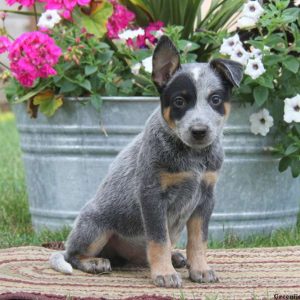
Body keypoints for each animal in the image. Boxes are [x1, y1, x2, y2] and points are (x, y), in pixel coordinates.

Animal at [50, 35, 244, 288]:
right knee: (72, 255)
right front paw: (164, 274)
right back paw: (95, 262)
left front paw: (200, 269)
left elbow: (198, 240)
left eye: (215, 99)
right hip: (96, 228)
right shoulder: (152, 196)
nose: (199, 131)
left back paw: (175, 257)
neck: (193, 157)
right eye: (179, 101)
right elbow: (159, 240)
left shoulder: (206, 197)